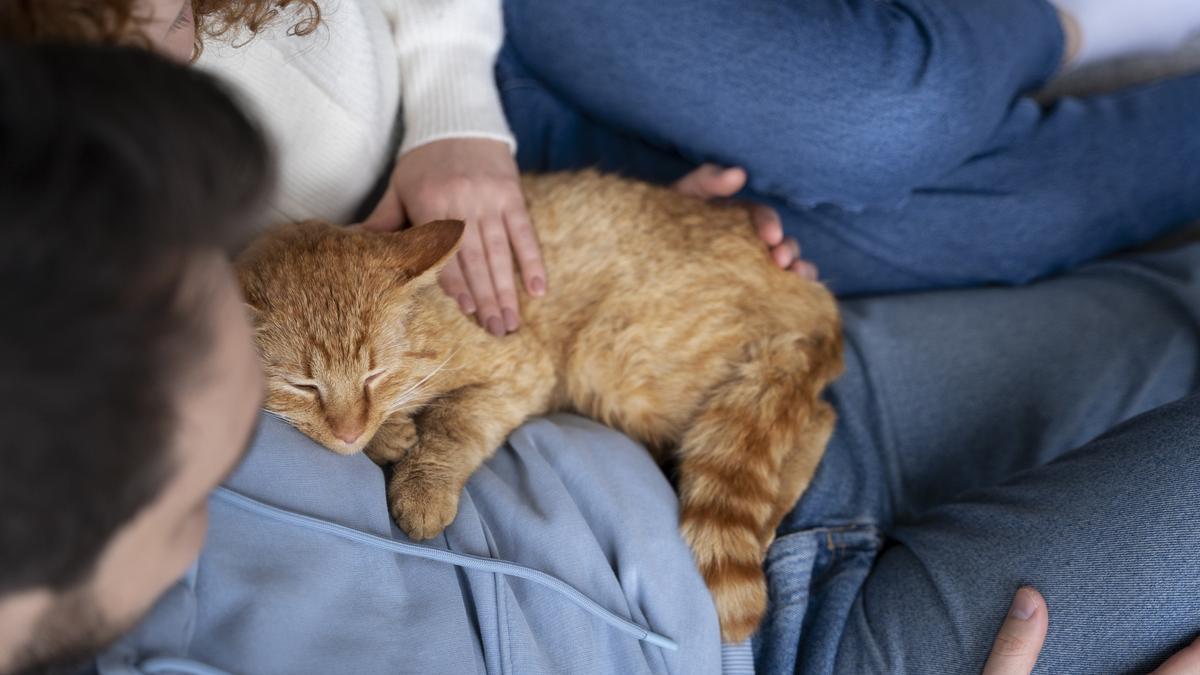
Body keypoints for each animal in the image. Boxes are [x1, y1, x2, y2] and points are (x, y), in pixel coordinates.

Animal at [231, 169, 835, 638]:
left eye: (375, 372)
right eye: (304, 386)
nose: (349, 431)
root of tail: (821, 305)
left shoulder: (522, 372)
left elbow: (454, 424)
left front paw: (421, 484)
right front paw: (389, 434)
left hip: (609, 360)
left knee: (815, 418)